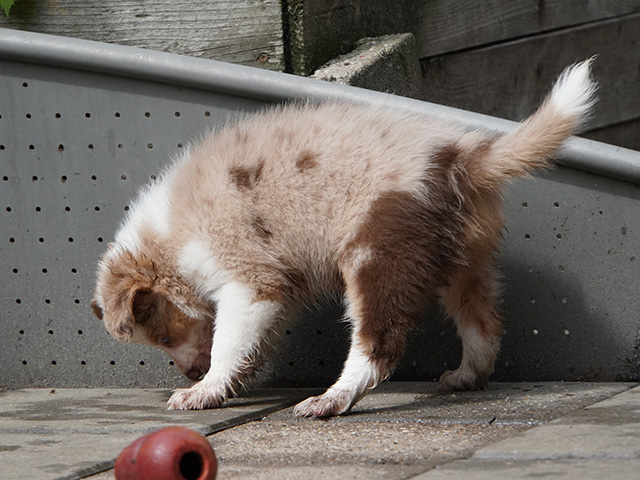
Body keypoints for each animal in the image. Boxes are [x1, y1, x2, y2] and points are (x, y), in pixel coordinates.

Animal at [91, 59, 597, 417]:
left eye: (162, 333)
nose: (190, 371)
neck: (168, 238)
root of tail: (461, 159)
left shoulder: (248, 281)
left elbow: (228, 341)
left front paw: (204, 389)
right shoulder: (277, 289)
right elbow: (251, 344)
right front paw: (227, 384)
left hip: (377, 252)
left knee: (377, 346)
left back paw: (329, 401)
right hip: (466, 262)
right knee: (484, 326)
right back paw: (465, 377)